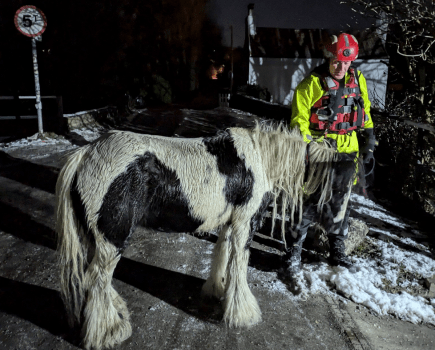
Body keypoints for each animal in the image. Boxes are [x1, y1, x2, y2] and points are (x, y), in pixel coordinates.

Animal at [54, 124, 356, 348]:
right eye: (339, 184)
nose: (338, 228)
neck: (261, 158)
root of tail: (86, 154)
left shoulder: (229, 222)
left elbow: (223, 254)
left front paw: (217, 291)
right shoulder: (245, 222)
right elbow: (239, 264)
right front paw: (243, 314)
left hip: (96, 238)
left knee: (93, 277)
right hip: (113, 238)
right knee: (97, 279)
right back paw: (109, 332)